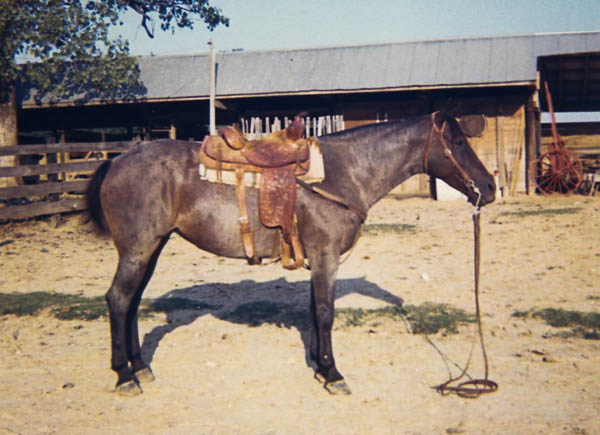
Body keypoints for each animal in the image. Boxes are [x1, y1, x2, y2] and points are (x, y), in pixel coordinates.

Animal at [85, 111, 496, 396]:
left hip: (152, 248)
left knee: (132, 303)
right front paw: (333, 374)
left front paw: (318, 366)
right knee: (118, 300)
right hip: (137, 249)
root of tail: (116, 160)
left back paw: (140, 367)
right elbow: (326, 313)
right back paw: (124, 376)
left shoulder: (319, 259)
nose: (490, 187)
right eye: (458, 143)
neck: (343, 174)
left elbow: (314, 310)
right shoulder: (326, 256)